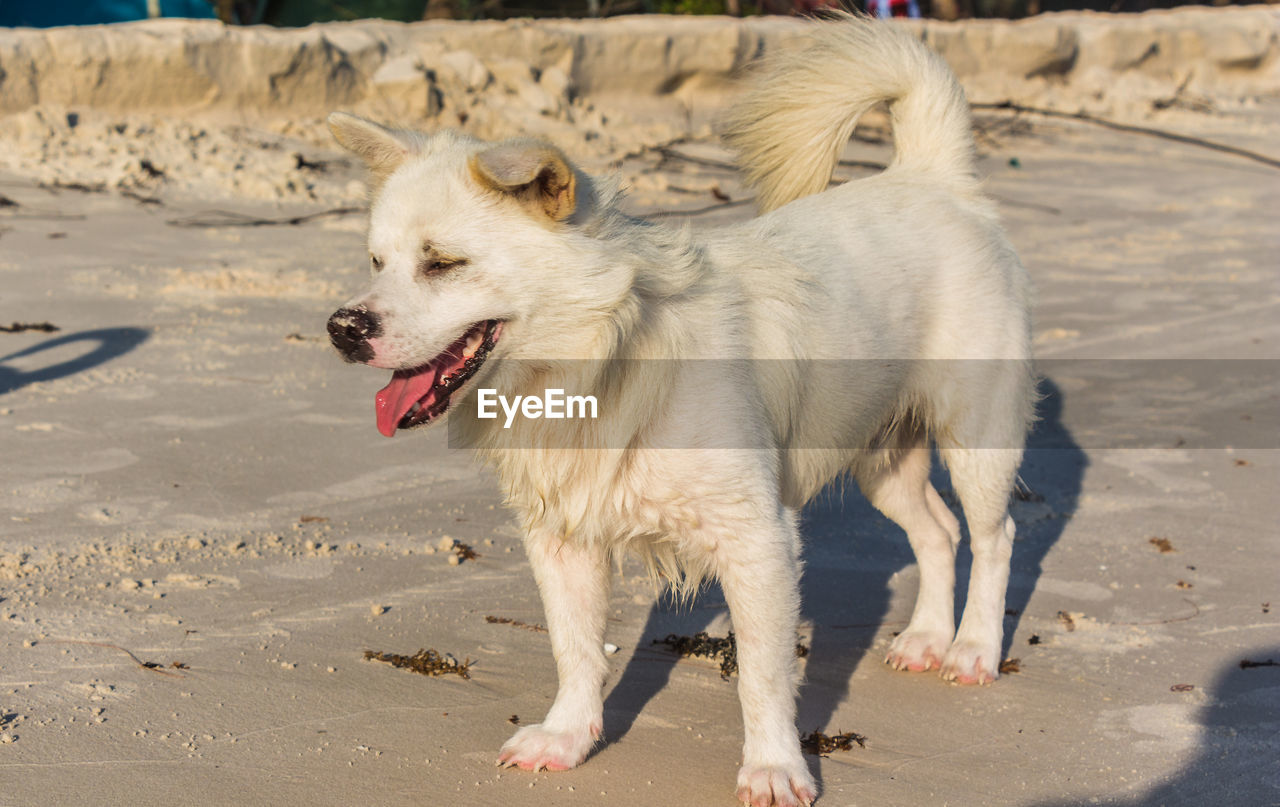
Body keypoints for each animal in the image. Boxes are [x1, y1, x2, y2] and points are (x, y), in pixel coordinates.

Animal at [325, 14, 1034, 807]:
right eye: (376, 262)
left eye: (443, 263)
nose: (342, 328)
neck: (604, 357)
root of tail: (934, 177)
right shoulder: (561, 540)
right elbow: (575, 648)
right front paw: (566, 739)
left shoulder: (758, 540)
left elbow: (762, 676)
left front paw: (775, 769)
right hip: (881, 456)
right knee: (938, 531)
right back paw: (926, 639)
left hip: (977, 436)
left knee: (993, 534)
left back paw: (972, 649)